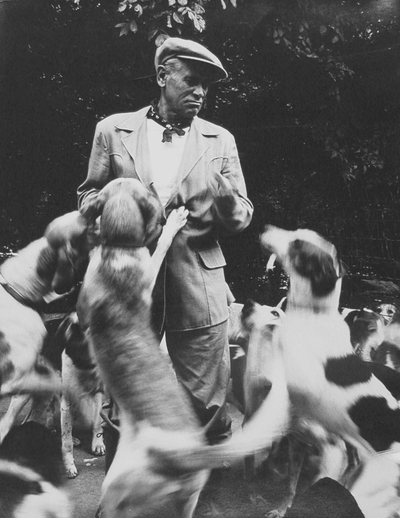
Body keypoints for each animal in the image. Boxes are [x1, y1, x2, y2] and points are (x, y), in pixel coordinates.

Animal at [258, 225, 400, 516]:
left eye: (298, 243)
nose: (264, 227)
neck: (312, 314)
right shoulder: (298, 436)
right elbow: (291, 485)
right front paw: (282, 506)